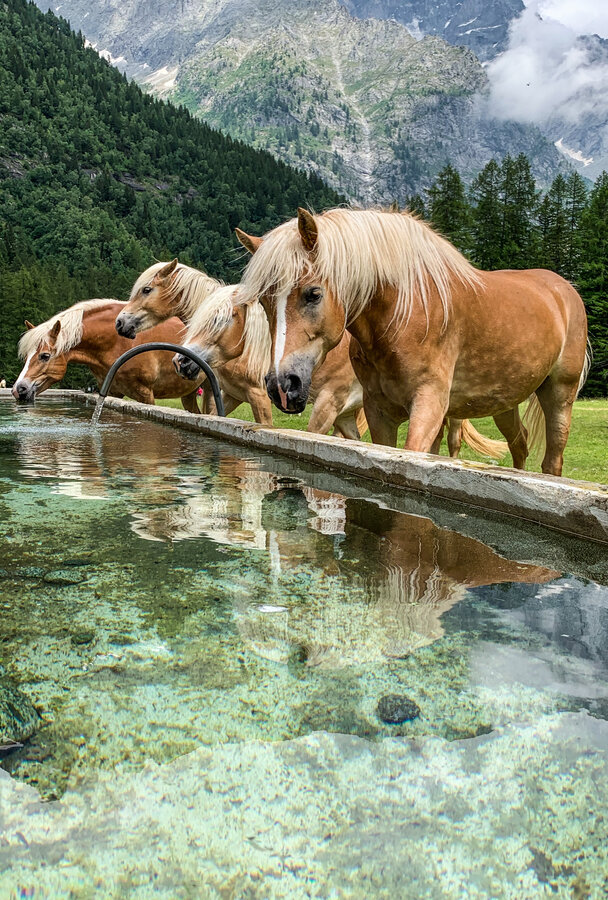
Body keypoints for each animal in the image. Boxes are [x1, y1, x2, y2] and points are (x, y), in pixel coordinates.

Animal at [11, 298, 205, 410]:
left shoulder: (145, 394)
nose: (18, 390)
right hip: (189, 393)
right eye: (26, 356)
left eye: (44, 356)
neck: (118, 342)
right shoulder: (113, 392)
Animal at [116, 256, 368, 440]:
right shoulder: (231, 395)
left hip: (327, 407)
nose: (120, 322)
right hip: (344, 415)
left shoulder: (259, 396)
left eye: (146, 290)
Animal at [238, 207, 588, 474]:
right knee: (520, 444)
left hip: (559, 394)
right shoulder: (379, 410)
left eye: (313, 294)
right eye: (265, 303)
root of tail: (563, 290)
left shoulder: (428, 403)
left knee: (552, 460)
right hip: (505, 402)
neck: (405, 315)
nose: (282, 385)